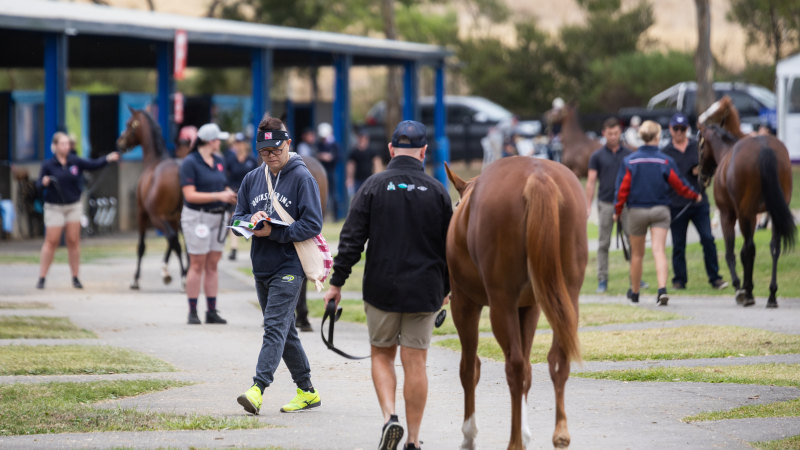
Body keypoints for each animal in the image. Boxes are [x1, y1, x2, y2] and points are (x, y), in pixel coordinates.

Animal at [115, 109, 186, 292]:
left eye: (128, 124)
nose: (120, 142)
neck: (155, 160)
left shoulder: (143, 214)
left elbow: (141, 247)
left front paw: (135, 280)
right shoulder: (173, 218)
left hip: (156, 217)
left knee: (173, 239)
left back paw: (183, 278)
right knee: (180, 242)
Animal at [444, 156, 588, 448]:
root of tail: (538, 176)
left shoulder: (464, 305)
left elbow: (469, 368)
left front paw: (469, 434)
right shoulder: (529, 307)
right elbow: (530, 370)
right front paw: (524, 430)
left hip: (501, 306)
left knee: (515, 367)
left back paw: (514, 442)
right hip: (567, 299)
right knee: (557, 360)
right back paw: (560, 434)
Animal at [696, 125, 796, 308]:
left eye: (700, 147)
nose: (701, 177)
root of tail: (764, 148)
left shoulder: (728, 215)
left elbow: (732, 253)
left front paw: (740, 288)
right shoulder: (754, 216)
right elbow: (745, 252)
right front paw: (747, 287)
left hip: (743, 214)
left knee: (750, 248)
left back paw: (748, 293)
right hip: (774, 212)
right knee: (774, 247)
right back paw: (772, 295)